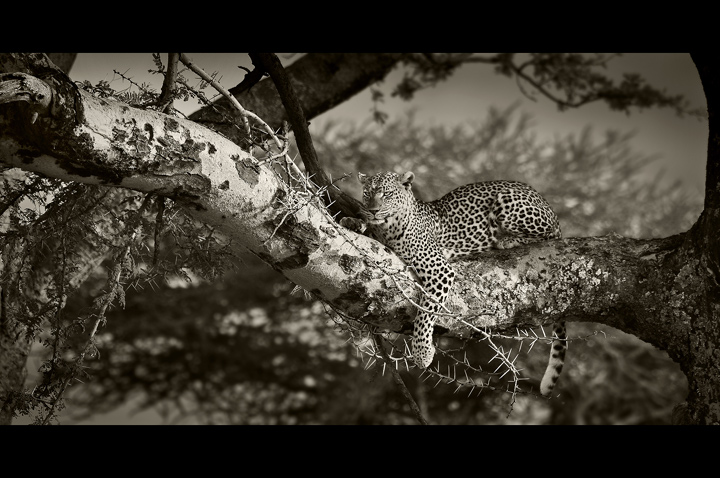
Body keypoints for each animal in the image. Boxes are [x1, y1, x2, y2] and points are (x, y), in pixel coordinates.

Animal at [340, 171, 566, 397]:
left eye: (386, 194)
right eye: (367, 193)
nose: (373, 210)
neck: (389, 228)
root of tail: (542, 199)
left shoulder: (439, 270)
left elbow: (426, 312)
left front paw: (422, 352)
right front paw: (353, 221)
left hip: (508, 202)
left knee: (550, 235)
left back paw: (505, 240)